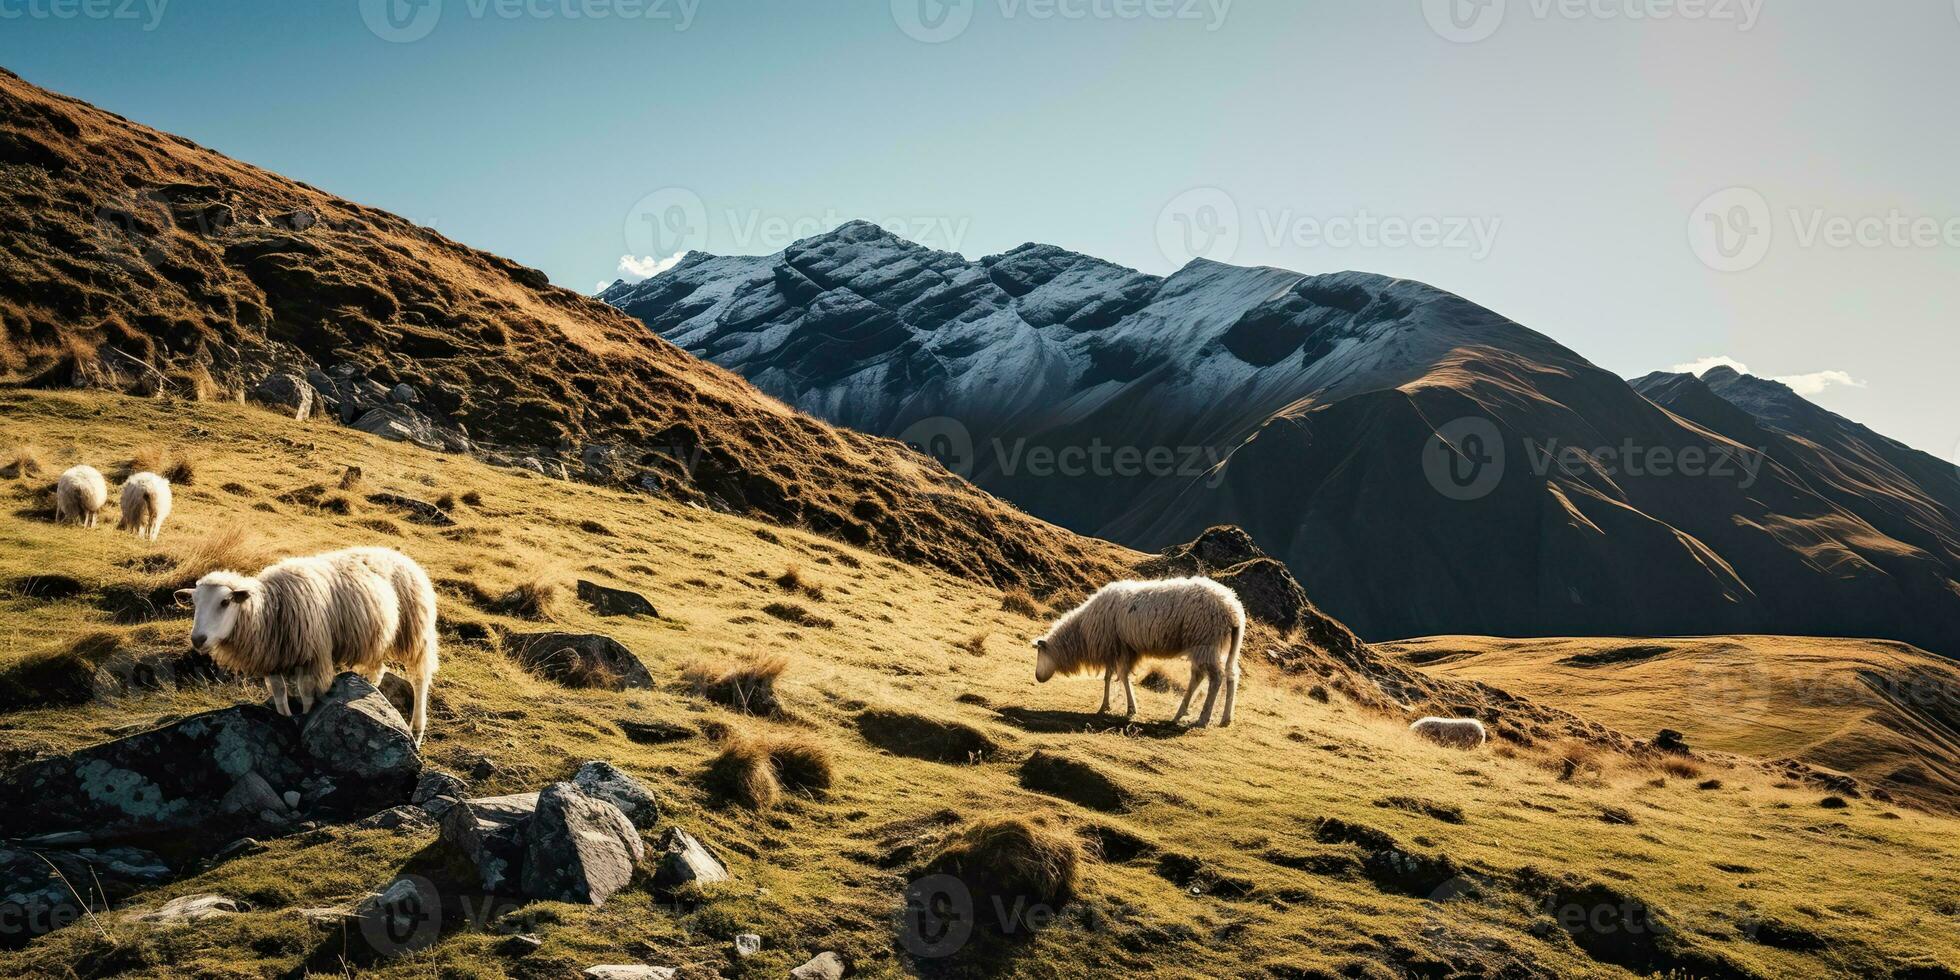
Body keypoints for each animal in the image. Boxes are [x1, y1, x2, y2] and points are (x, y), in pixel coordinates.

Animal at [178, 544, 442, 740]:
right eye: (194, 602)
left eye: (224, 602)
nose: (197, 639)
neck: (271, 608)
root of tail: (402, 556)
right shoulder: (273, 657)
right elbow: (279, 692)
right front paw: (285, 718)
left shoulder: (312, 656)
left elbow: (306, 693)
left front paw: (304, 718)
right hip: (378, 635)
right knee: (378, 668)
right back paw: (370, 686)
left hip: (416, 631)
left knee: (419, 679)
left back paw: (417, 728)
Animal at [1034, 572, 1246, 729]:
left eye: (1039, 654)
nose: (1037, 677)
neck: (1081, 631)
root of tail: (1232, 609)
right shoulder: (1117, 648)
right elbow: (1109, 677)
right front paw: (1105, 705)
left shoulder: (1118, 647)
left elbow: (1121, 676)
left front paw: (1130, 708)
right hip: (1219, 645)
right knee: (1228, 675)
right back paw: (1219, 718)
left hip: (1205, 642)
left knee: (1215, 678)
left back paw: (1202, 718)